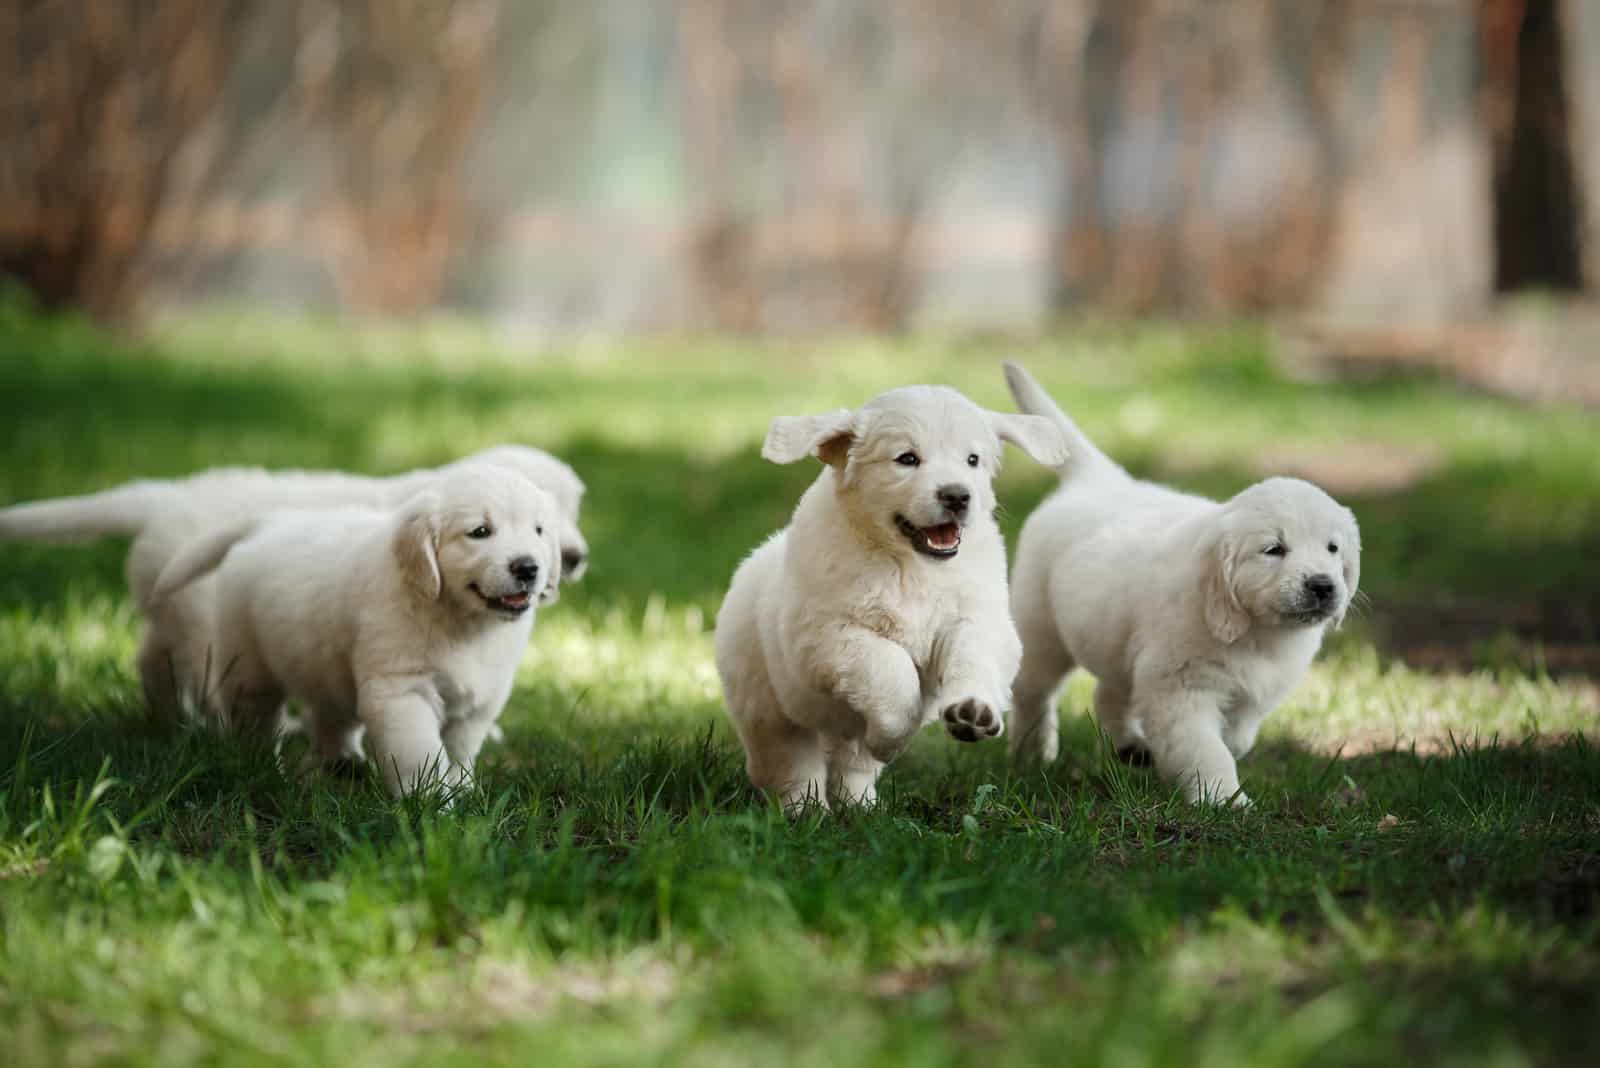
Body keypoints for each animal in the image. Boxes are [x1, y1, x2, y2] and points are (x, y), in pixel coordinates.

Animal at [0, 441, 588, 716]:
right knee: (201, 670)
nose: (574, 558)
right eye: (486, 530)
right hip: (202, 614)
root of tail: (164, 498)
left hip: (169, 604)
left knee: (150, 656)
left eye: (571, 509)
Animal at [151, 463, 563, 796]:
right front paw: (430, 805)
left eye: (539, 530)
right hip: (249, 666)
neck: (460, 621)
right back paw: (262, 767)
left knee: (331, 718)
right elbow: (421, 752)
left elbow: (459, 750)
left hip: (326, 668)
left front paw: (462, 790)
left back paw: (342, 765)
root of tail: (270, 524)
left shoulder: (480, 700)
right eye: (479, 532)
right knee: (256, 719)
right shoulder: (402, 691)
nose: (528, 567)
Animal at [710, 383, 1062, 808]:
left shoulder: (977, 618)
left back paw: (861, 806)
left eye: (972, 460)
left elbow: (973, 656)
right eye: (907, 459)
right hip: (767, 706)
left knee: (852, 765)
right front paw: (892, 739)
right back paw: (808, 810)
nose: (957, 496)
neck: (911, 565)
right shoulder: (825, 636)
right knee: (790, 764)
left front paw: (972, 711)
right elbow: (890, 668)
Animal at [1004, 362, 1356, 805]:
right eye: (1274, 549)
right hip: (1041, 630)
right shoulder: (1181, 688)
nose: (1323, 585)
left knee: (1108, 692)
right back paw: (1031, 753)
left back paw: (1130, 747)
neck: (1255, 632)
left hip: (1114, 639)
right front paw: (1223, 800)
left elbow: (1237, 737)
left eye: (1332, 548)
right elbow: (1205, 748)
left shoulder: (1252, 693)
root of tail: (1097, 481)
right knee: (1032, 691)